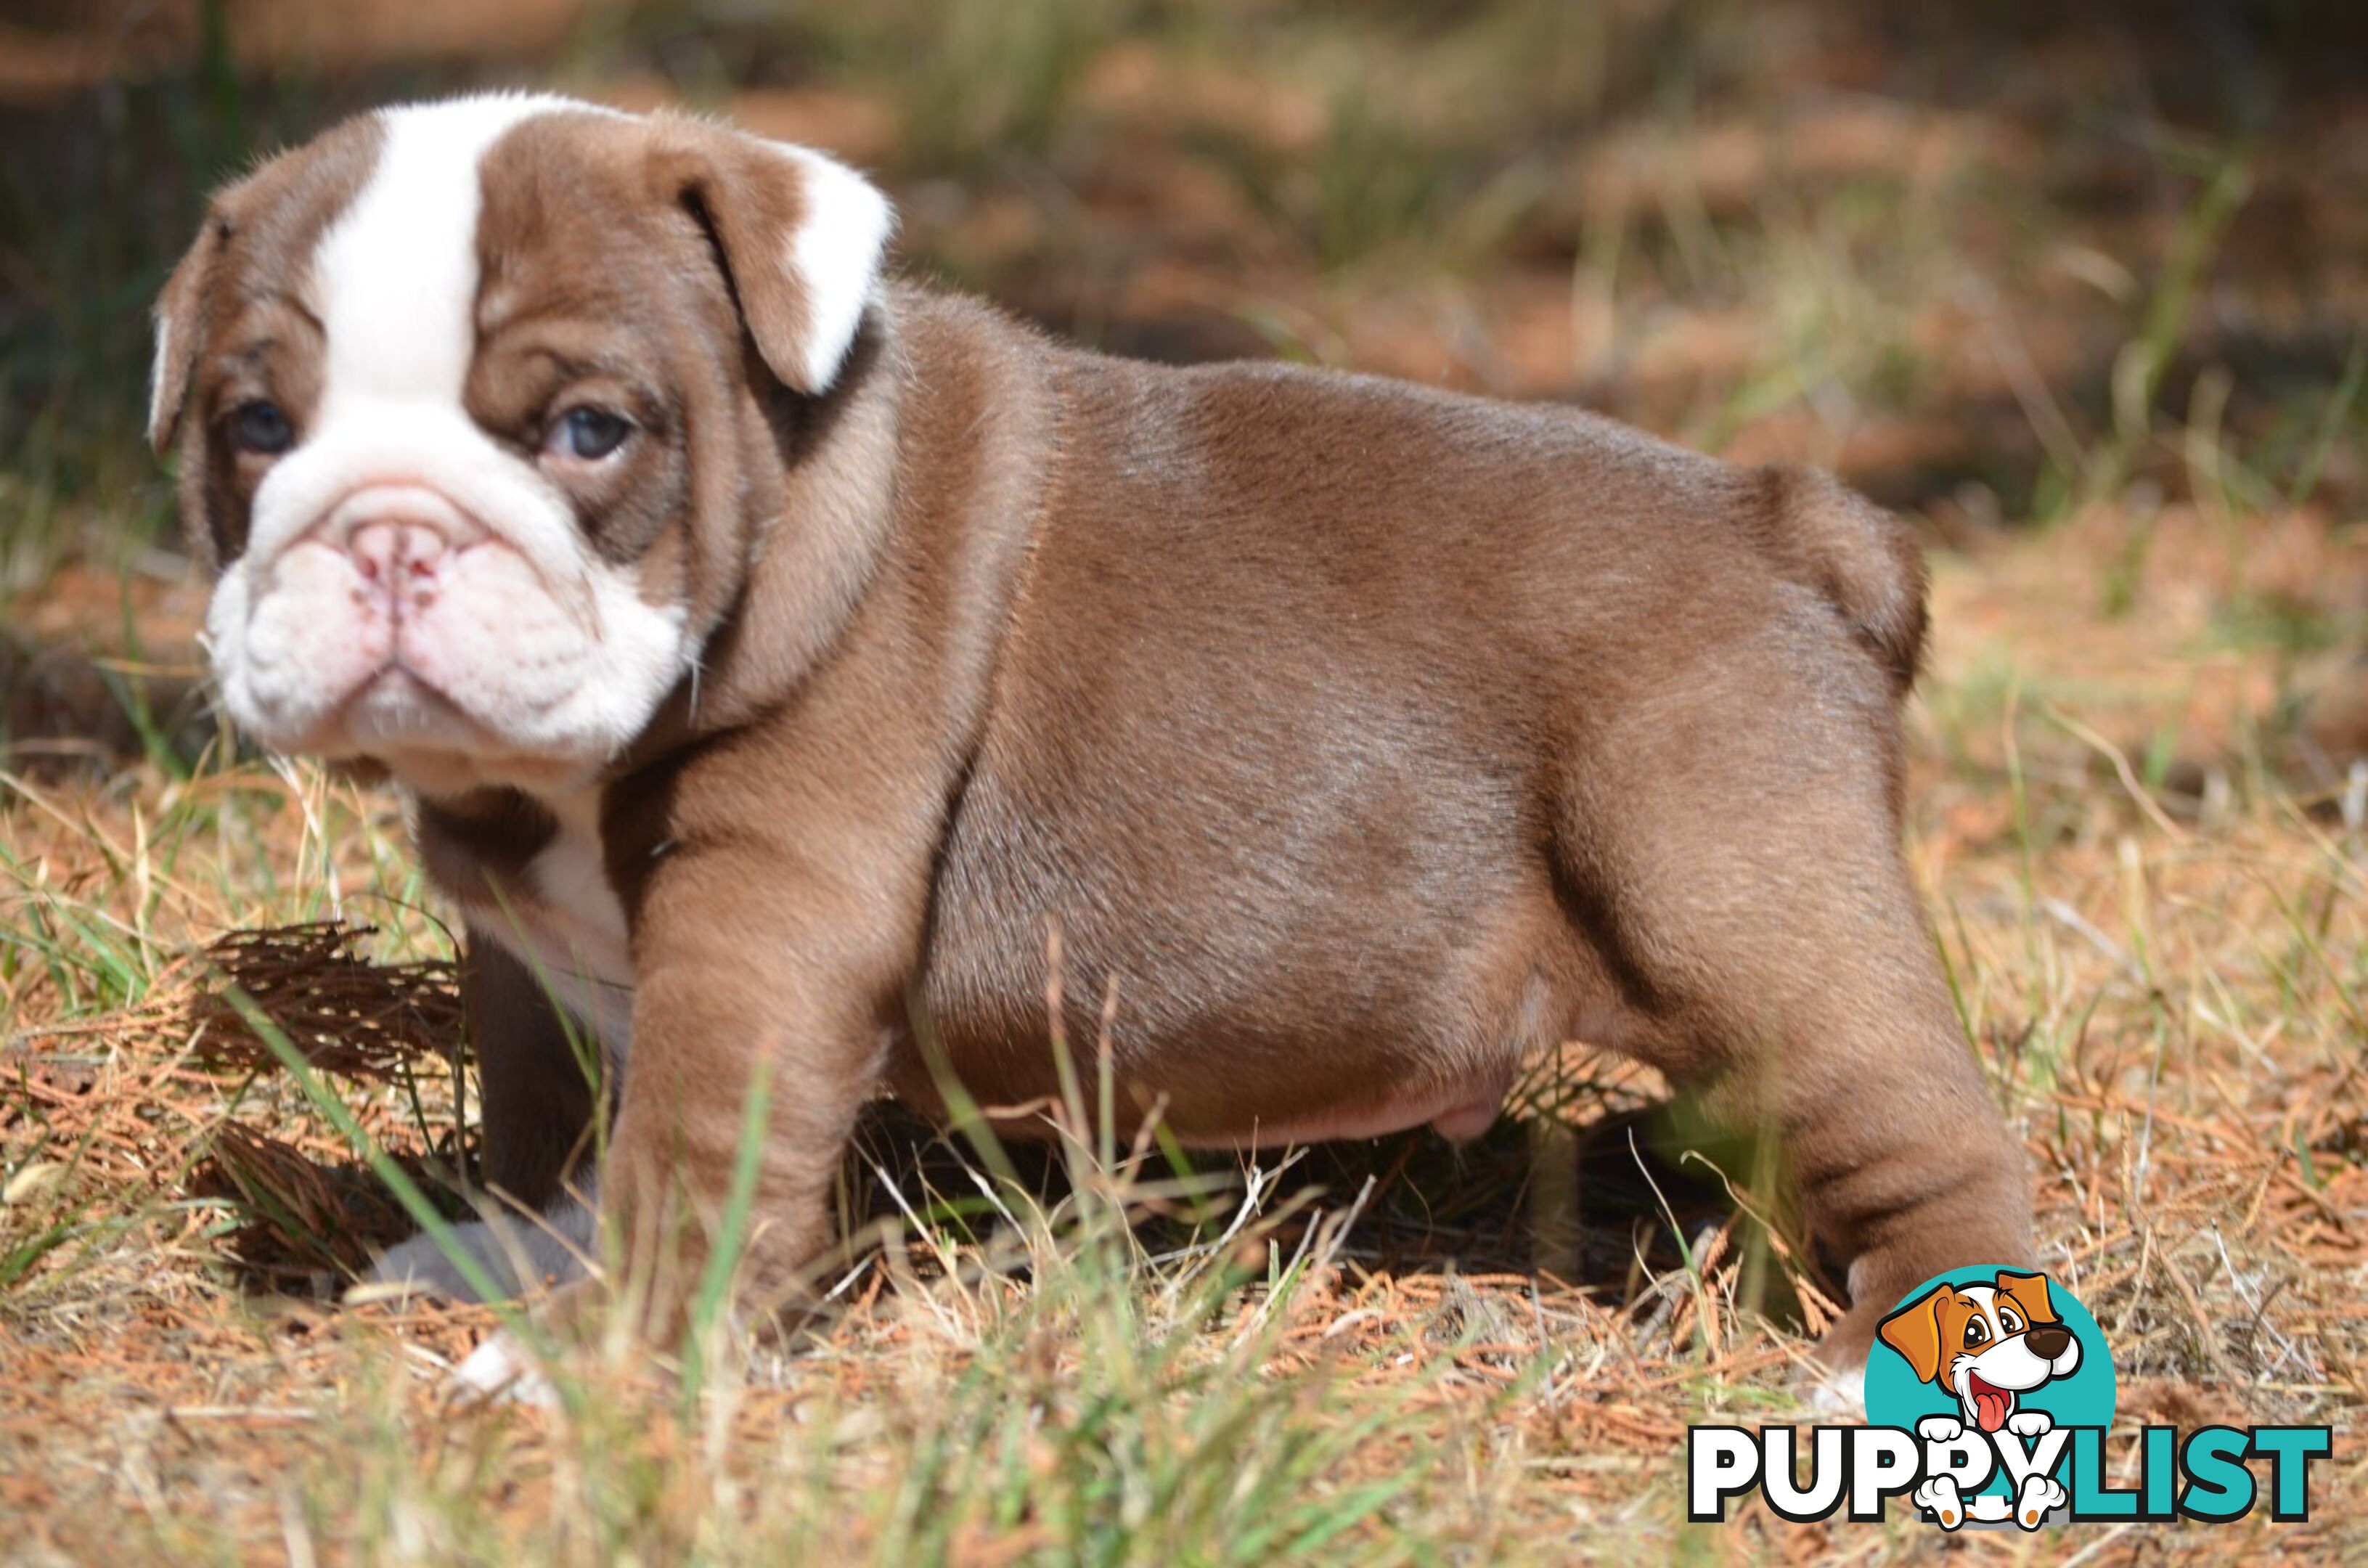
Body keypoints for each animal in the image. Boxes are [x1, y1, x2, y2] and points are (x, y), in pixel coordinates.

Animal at [152, 92, 2036, 1383]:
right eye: (256, 426)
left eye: (591, 430)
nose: (391, 532)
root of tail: (1783, 515)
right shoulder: (526, 940)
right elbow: (552, 1095)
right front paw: (517, 1256)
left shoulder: (763, 910)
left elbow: (692, 1129)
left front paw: (606, 1361)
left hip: (1744, 898)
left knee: (1918, 1129)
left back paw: (1901, 1378)